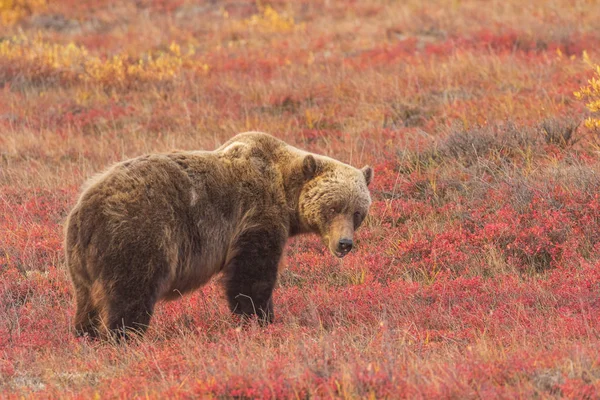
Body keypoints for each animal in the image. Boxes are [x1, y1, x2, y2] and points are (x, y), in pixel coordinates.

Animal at [64, 133, 370, 340]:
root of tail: (86, 210)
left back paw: (86, 334)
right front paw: (261, 317)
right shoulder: (255, 214)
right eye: (333, 207)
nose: (344, 244)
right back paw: (122, 336)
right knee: (130, 293)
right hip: (138, 235)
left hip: (80, 260)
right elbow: (251, 275)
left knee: (87, 300)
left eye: (357, 212)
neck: (285, 189)